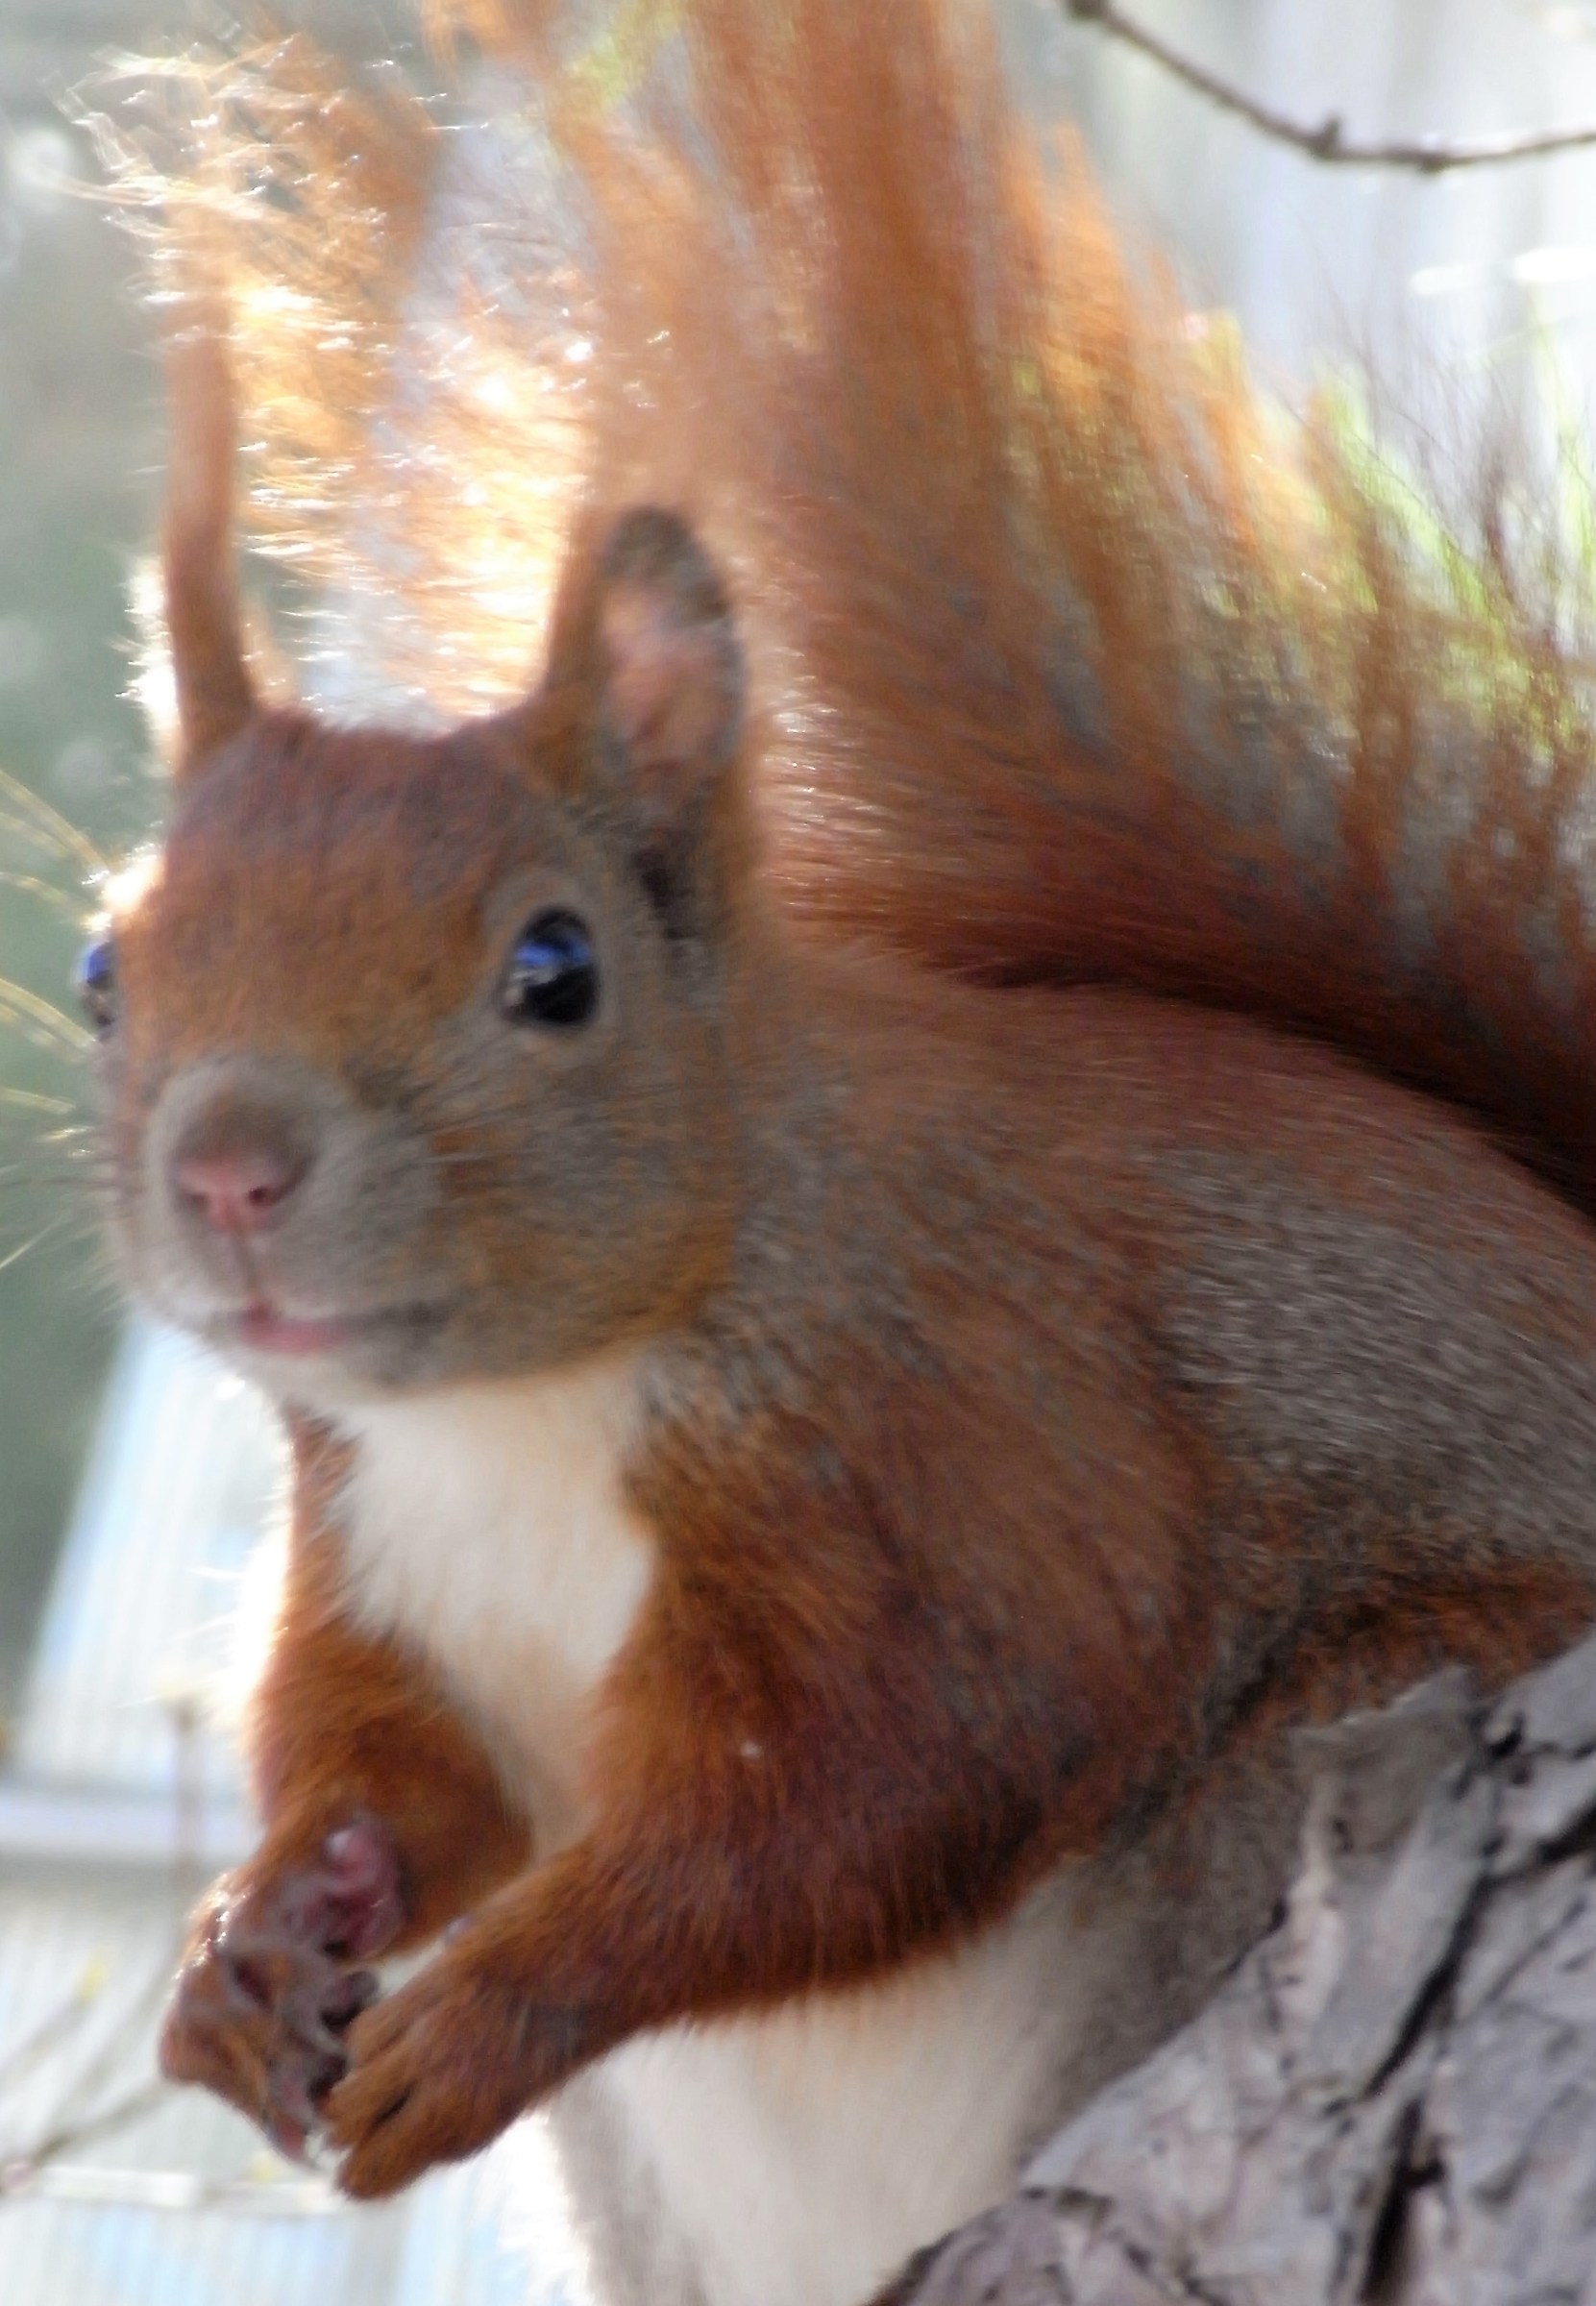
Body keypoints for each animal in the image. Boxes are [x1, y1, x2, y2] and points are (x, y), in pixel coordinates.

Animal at [87, 3, 1596, 2303]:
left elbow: (879, 1784)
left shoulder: (963, 1431)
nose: (232, 1172)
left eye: (556, 969)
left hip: (1319, 1768)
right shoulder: (375, 1544)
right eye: (104, 967)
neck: (526, 1410)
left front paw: (502, 2000)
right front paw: (251, 1939)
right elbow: (404, 1779)